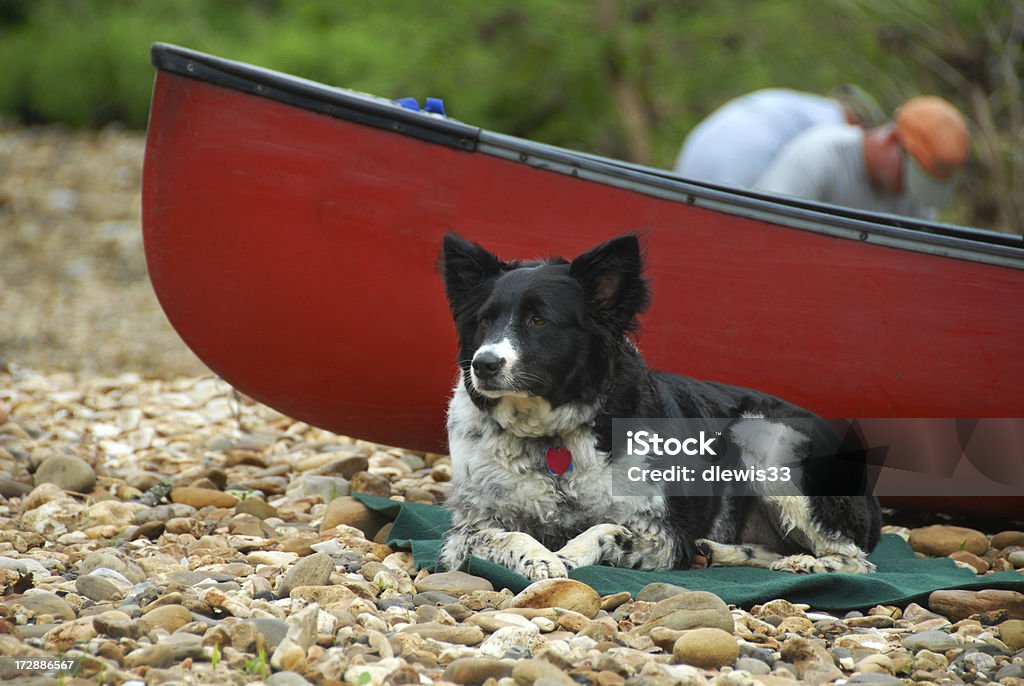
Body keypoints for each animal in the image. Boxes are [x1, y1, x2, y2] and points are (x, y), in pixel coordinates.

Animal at [438, 232, 880, 581]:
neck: (550, 438)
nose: (483, 364)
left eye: (539, 321)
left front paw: (567, 554)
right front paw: (538, 556)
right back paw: (722, 553)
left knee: (855, 558)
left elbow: (606, 529)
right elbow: (505, 536)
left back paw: (811, 564)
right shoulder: (467, 531)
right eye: (484, 321)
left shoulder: (663, 533)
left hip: (765, 436)